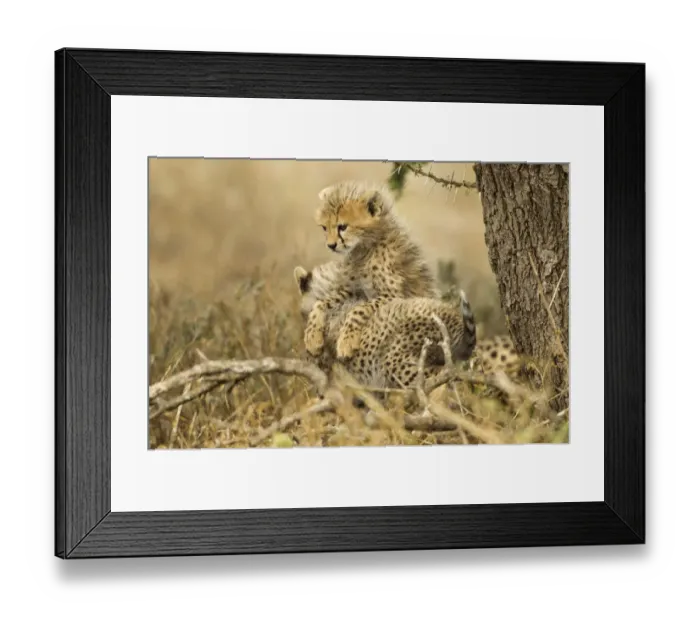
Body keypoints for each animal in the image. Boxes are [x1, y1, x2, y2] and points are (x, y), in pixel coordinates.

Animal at [303, 180, 440, 362]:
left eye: (342, 227)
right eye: (325, 228)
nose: (331, 245)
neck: (364, 248)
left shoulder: (395, 295)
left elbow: (359, 309)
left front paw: (346, 342)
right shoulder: (353, 288)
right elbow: (322, 302)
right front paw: (312, 337)